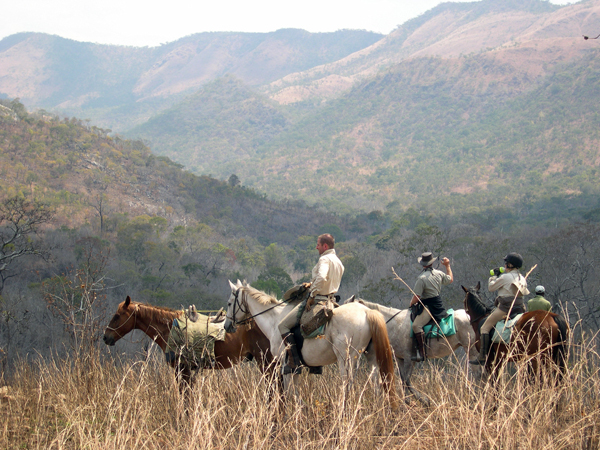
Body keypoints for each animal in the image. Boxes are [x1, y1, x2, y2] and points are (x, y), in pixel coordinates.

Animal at [223, 282, 400, 412]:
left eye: (230, 303)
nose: (226, 326)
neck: (274, 321)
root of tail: (366, 312)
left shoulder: (285, 366)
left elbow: (288, 392)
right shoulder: (294, 368)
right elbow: (294, 392)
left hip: (346, 358)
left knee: (348, 384)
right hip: (370, 357)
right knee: (377, 384)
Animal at [346, 298, 478, 404]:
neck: (396, 325)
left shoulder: (410, 358)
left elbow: (407, 380)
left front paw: (421, 400)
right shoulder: (400, 358)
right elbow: (404, 379)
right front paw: (410, 401)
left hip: (471, 349)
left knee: (477, 372)